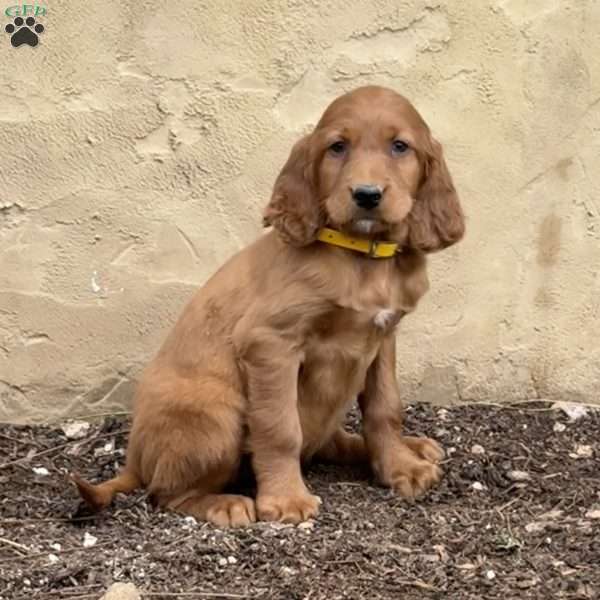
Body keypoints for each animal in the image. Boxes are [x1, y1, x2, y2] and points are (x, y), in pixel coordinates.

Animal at [72, 84, 466, 524]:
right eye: (337, 147)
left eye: (400, 146)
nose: (366, 195)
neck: (361, 255)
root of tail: (134, 459)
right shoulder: (270, 343)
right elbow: (280, 429)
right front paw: (286, 499)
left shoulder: (382, 338)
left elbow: (384, 409)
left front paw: (401, 467)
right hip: (218, 414)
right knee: (166, 492)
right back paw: (224, 503)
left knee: (331, 442)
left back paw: (413, 447)